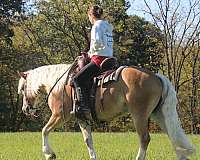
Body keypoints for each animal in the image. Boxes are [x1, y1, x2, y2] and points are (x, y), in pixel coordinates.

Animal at [17, 63, 194, 159]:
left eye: (22, 89)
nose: (25, 109)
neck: (60, 85)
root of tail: (156, 77)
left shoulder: (59, 116)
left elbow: (44, 130)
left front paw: (49, 153)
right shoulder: (82, 118)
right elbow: (88, 140)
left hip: (139, 115)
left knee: (145, 139)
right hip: (159, 115)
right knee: (173, 136)